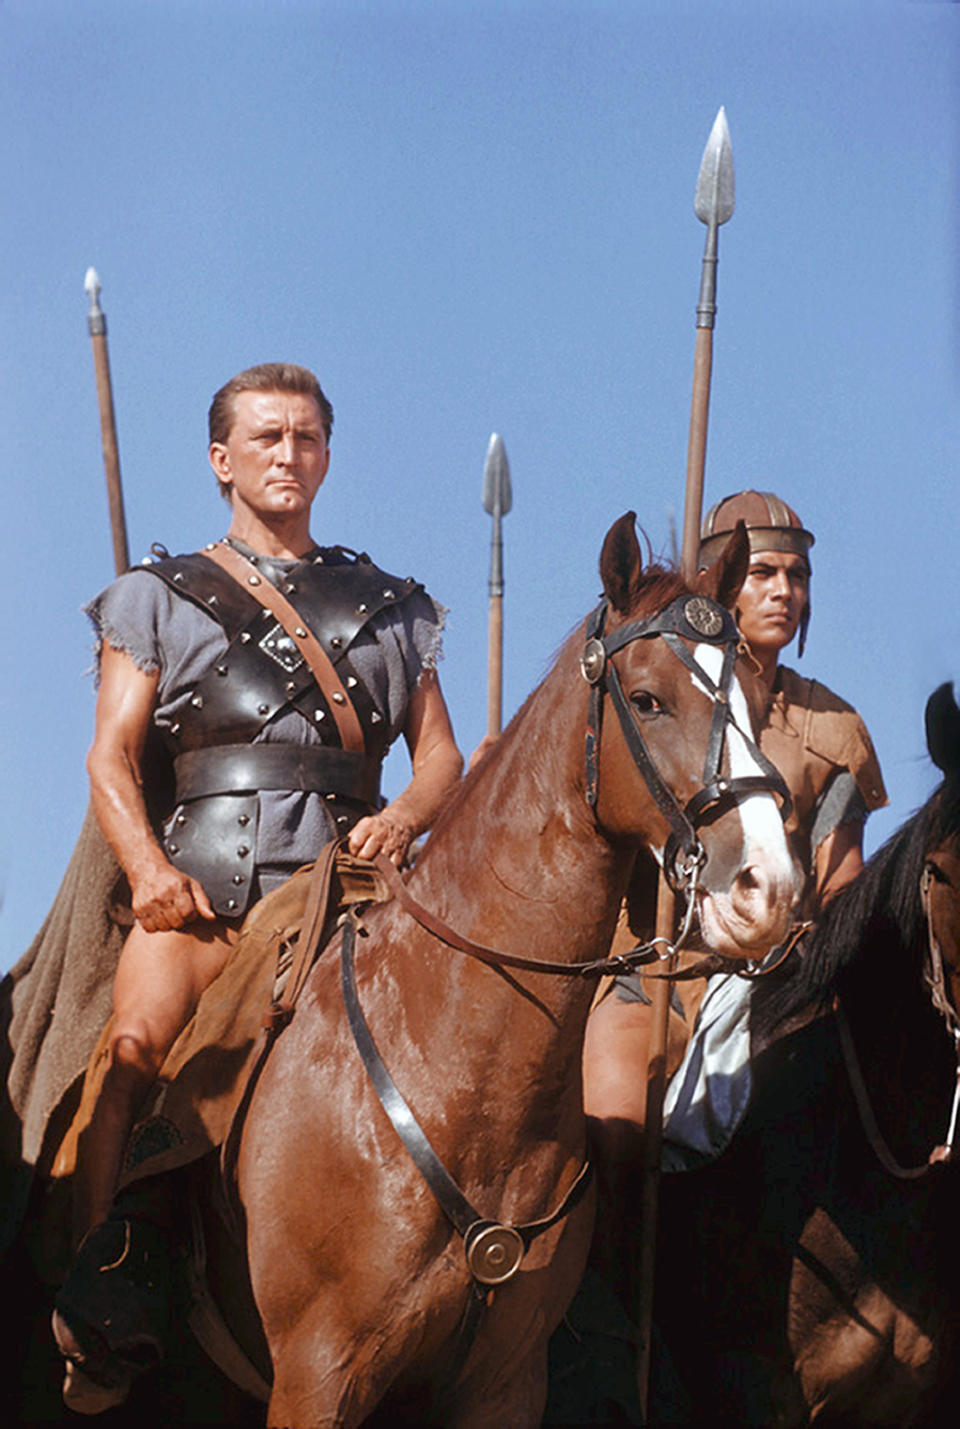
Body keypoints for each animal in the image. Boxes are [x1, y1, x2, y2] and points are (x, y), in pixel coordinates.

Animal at [9, 517, 794, 1429]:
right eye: (647, 699)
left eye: (754, 699)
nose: (767, 887)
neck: (463, 1077)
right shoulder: (318, 1372)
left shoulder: (501, 1386)